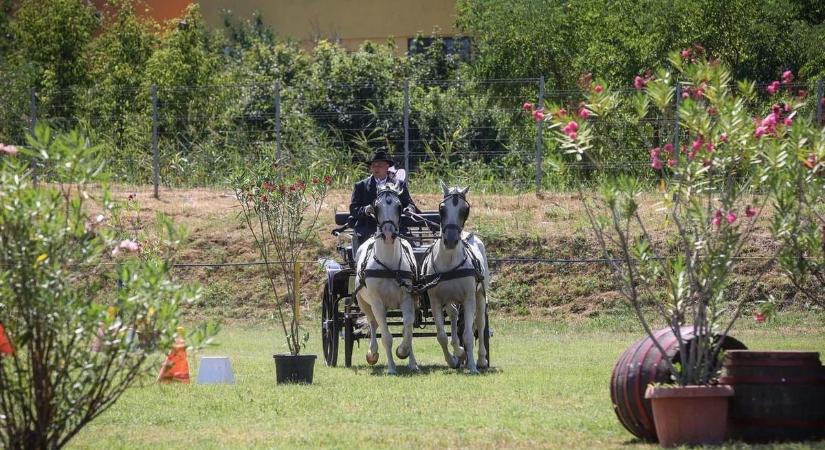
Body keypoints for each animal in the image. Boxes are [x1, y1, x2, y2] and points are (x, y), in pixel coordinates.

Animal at [352, 184, 418, 376]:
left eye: (399, 206)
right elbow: (386, 336)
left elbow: (408, 328)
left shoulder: (407, 298)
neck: (388, 263)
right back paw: (372, 353)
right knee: (373, 324)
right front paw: (391, 368)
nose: (388, 235)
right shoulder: (377, 303)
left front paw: (405, 353)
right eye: (376, 207)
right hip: (364, 303)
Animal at [422, 182, 486, 372]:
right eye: (442, 209)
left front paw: (472, 366)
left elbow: (469, 335)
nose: (450, 240)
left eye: (465, 210)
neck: (449, 261)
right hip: (450, 300)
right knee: (454, 315)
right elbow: (442, 335)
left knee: (480, 323)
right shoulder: (435, 301)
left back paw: (481, 359)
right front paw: (454, 358)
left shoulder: (469, 298)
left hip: (480, 295)